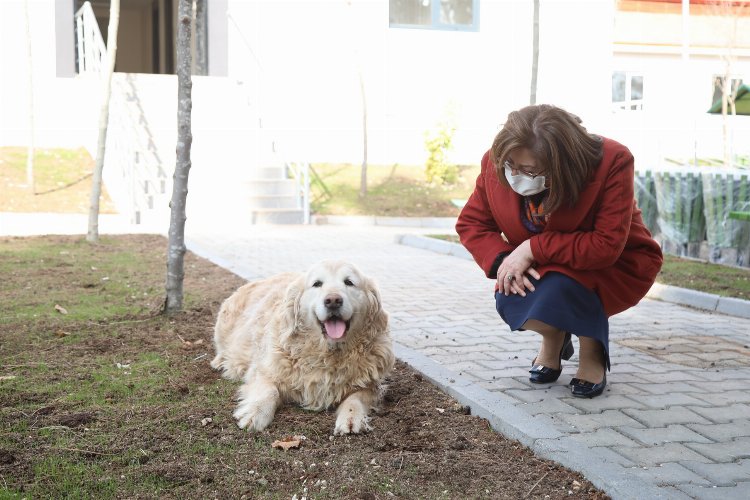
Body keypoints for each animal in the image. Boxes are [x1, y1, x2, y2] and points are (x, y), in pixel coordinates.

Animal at [210, 260, 394, 436]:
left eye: (349, 282)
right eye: (317, 283)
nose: (333, 300)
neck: (327, 353)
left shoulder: (370, 385)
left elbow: (356, 399)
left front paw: (352, 417)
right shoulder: (264, 370)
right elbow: (269, 390)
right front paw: (255, 412)